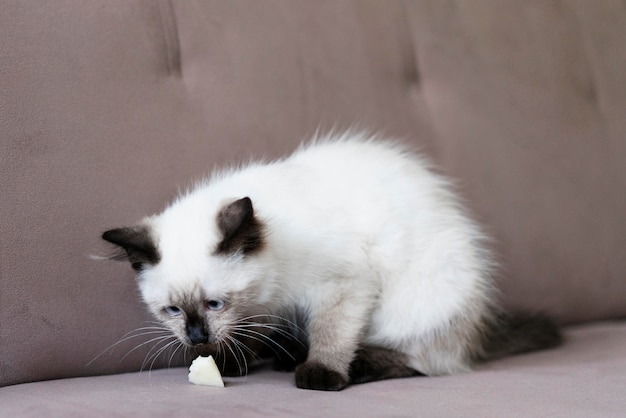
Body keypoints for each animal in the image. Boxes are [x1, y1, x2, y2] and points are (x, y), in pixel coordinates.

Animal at [102, 132, 560, 390]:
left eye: (214, 303)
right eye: (173, 311)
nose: (197, 338)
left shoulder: (343, 286)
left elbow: (332, 334)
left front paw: (320, 373)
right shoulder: (265, 308)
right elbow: (249, 333)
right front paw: (230, 362)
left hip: (418, 306)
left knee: (424, 361)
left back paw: (353, 366)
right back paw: (287, 357)